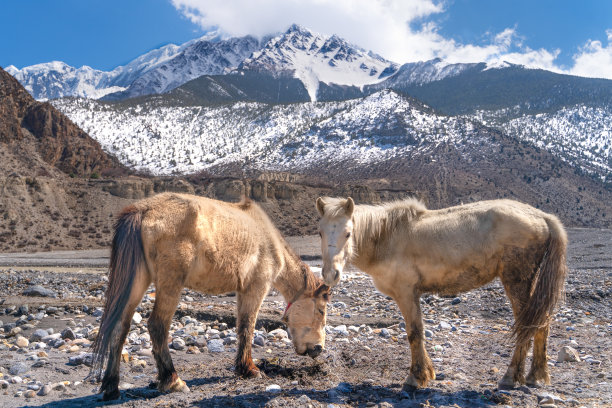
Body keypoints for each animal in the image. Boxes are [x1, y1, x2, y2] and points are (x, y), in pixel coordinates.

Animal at [89, 193, 330, 400]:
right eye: (320, 310)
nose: (318, 349)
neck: (270, 242)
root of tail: (142, 209)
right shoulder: (256, 288)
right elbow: (247, 328)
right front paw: (250, 369)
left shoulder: (242, 291)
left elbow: (242, 328)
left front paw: (242, 368)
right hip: (170, 284)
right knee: (157, 325)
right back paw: (173, 380)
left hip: (137, 282)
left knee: (119, 328)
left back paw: (111, 387)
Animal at [318, 197, 568, 388]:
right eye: (320, 233)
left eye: (348, 233)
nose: (331, 274)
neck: (386, 238)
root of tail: (543, 217)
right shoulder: (412, 294)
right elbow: (418, 332)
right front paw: (428, 373)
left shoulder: (406, 293)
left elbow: (414, 333)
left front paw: (415, 377)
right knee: (541, 323)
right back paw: (535, 376)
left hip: (517, 282)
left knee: (528, 326)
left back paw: (510, 377)